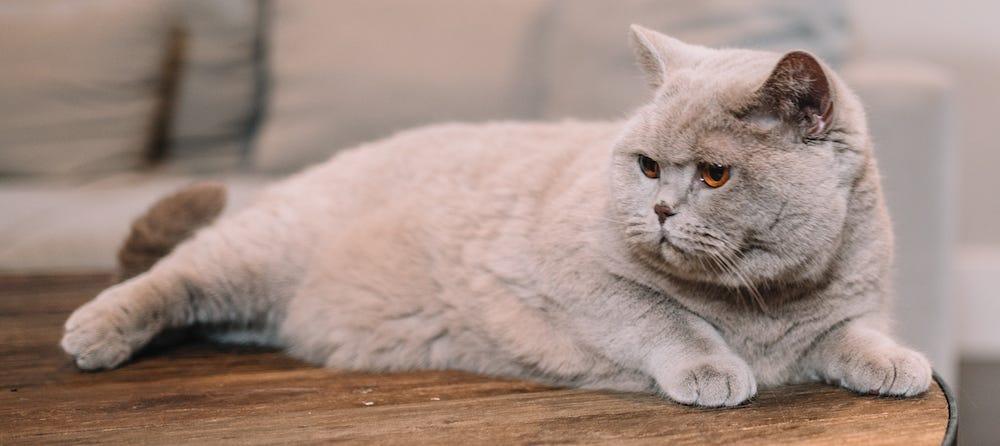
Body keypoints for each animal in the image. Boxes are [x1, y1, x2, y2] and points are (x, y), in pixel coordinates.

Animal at [58, 25, 928, 408]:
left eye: (714, 175)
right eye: (648, 167)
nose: (658, 208)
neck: (758, 303)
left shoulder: (842, 308)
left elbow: (853, 335)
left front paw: (899, 364)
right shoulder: (584, 280)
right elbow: (666, 320)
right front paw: (713, 369)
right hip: (257, 253)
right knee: (169, 276)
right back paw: (94, 335)